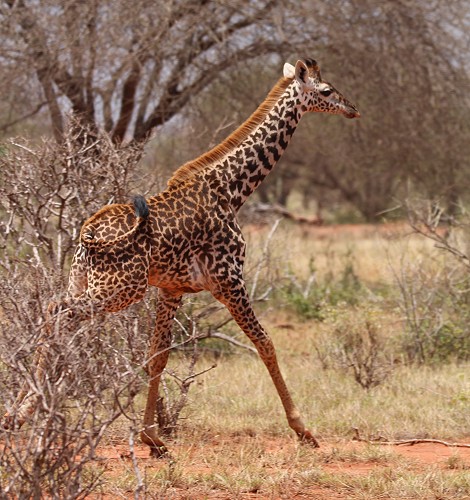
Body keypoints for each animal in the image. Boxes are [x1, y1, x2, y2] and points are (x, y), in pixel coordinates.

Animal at [5, 58, 360, 458]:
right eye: (327, 90)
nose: (353, 109)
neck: (232, 189)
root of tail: (88, 232)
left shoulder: (171, 289)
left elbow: (157, 356)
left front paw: (152, 438)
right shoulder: (228, 280)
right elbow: (265, 344)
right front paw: (304, 430)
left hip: (82, 280)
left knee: (54, 314)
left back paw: (19, 412)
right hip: (118, 290)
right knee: (56, 312)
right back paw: (25, 412)